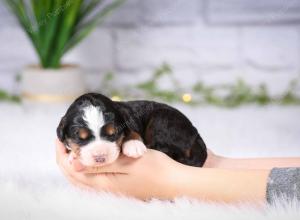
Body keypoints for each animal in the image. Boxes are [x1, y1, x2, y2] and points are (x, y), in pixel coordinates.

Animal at [56, 92, 206, 167]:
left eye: (113, 133)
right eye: (80, 137)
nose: (100, 158)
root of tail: (196, 133)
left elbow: (132, 131)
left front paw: (133, 145)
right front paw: (73, 154)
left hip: (162, 119)